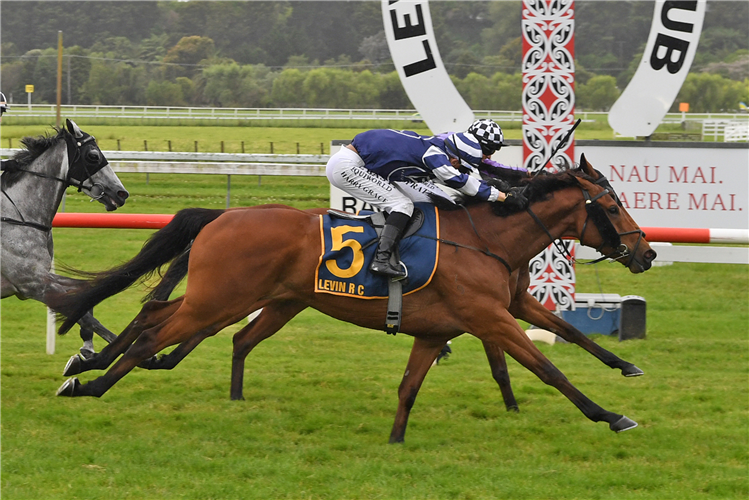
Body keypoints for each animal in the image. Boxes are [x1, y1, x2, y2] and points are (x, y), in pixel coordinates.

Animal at [0, 119, 129, 356]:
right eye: (93, 156)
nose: (121, 193)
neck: (17, 215)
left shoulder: (43, 277)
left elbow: (84, 294)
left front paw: (87, 346)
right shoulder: (33, 284)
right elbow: (85, 317)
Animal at [51, 156, 656, 442]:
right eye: (612, 205)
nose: (645, 253)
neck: (486, 237)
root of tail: (224, 215)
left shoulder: (477, 316)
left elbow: (568, 332)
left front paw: (625, 365)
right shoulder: (490, 316)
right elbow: (548, 368)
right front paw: (610, 415)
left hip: (242, 299)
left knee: (162, 314)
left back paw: (90, 367)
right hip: (219, 299)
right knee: (155, 332)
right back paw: (90, 382)